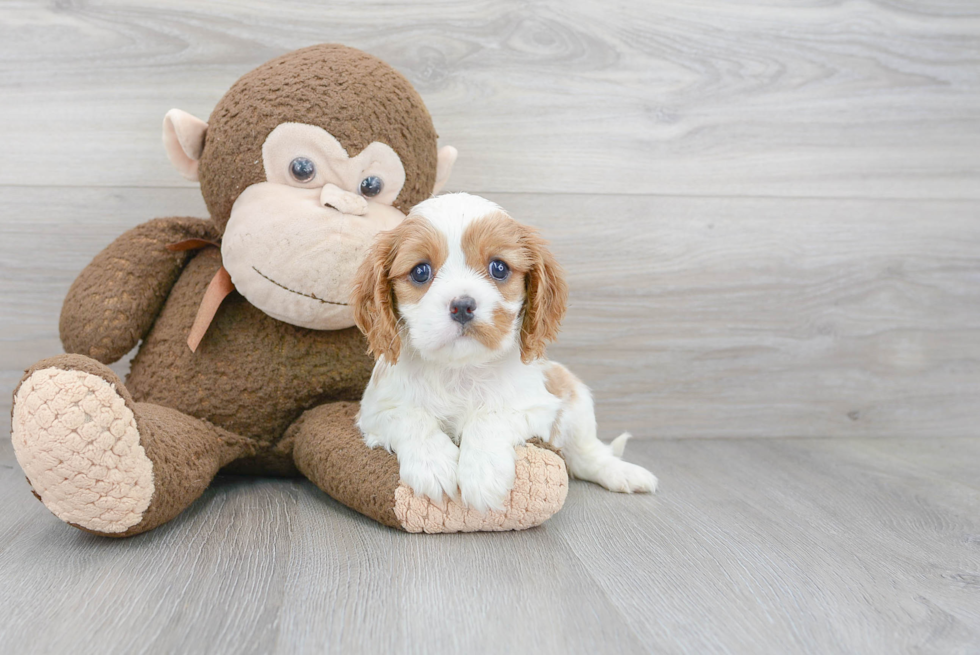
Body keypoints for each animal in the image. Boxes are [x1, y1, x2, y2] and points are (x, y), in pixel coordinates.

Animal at [348, 193, 656, 512]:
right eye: (421, 272)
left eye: (499, 268)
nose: (462, 305)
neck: (460, 369)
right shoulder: (375, 409)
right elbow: (411, 417)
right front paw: (432, 464)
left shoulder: (536, 404)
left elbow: (490, 416)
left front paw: (482, 475)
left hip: (572, 392)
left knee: (585, 455)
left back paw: (621, 472)